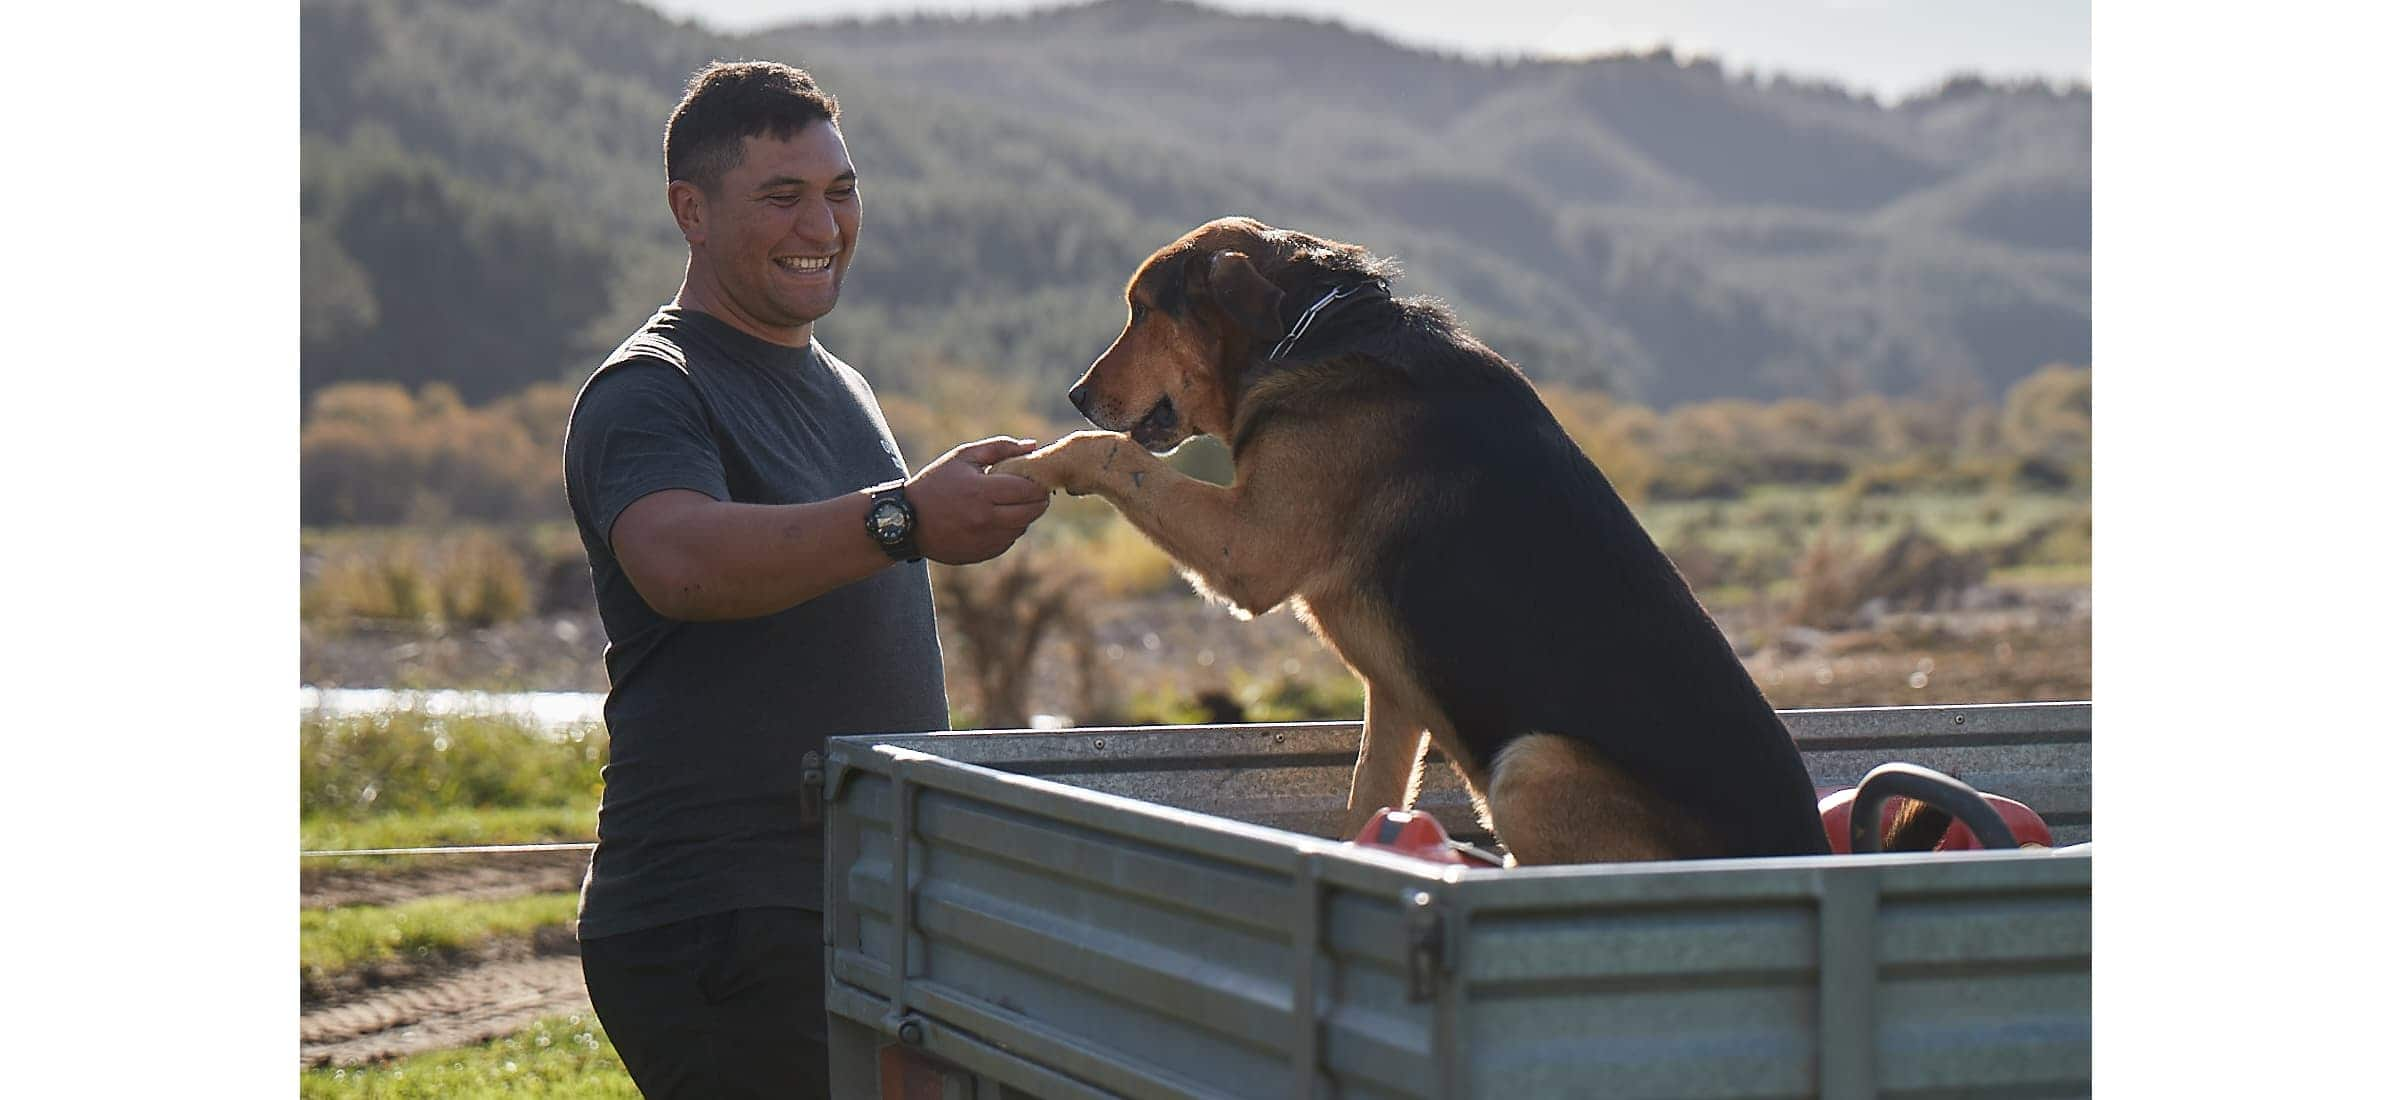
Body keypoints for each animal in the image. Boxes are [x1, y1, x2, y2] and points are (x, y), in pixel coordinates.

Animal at [995, 216, 1827, 865]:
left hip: (1531, 762)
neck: (1310, 328)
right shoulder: (1394, 699)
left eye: (1141, 312)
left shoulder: (1249, 550)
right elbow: (1368, 801)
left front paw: (1029, 463)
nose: (1075, 393)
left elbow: (1110, 454)